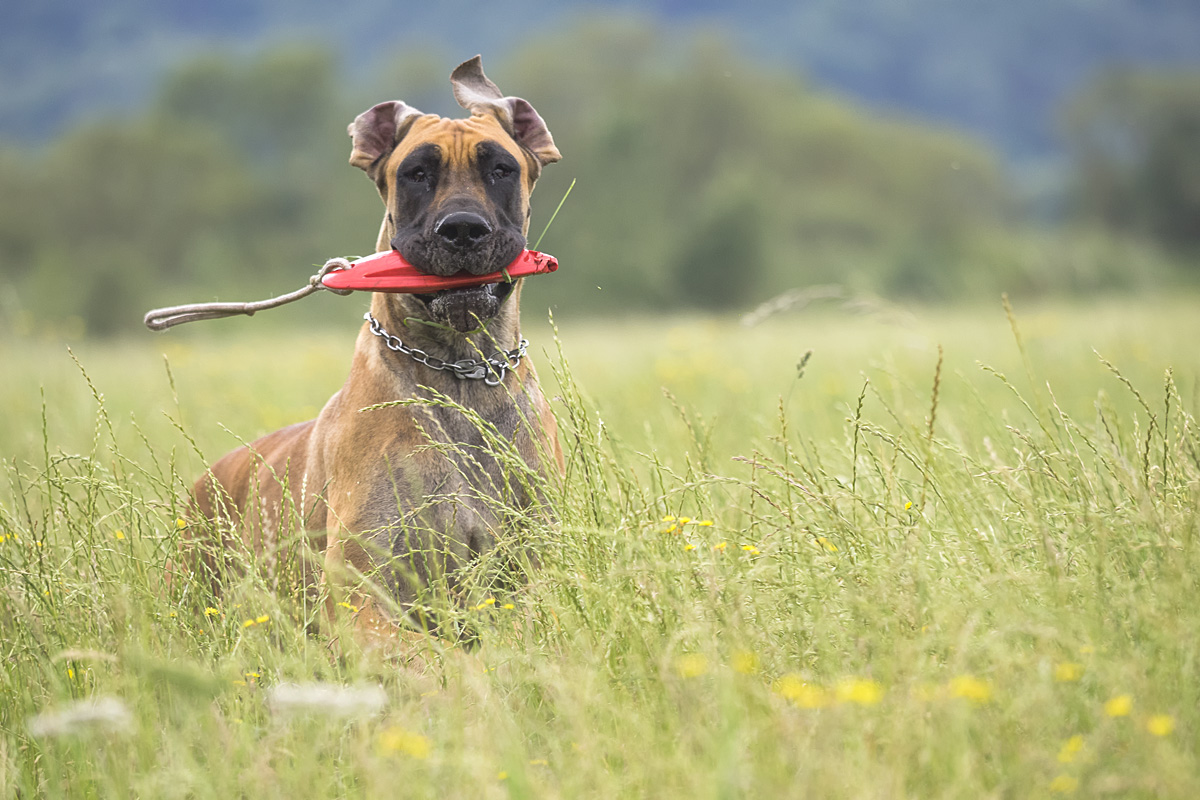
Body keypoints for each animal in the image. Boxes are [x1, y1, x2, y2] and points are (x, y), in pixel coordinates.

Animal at [189, 56, 564, 647]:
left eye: (501, 169)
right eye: (417, 173)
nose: (462, 229)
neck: (459, 369)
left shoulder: (539, 571)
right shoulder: (363, 591)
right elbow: (430, 657)